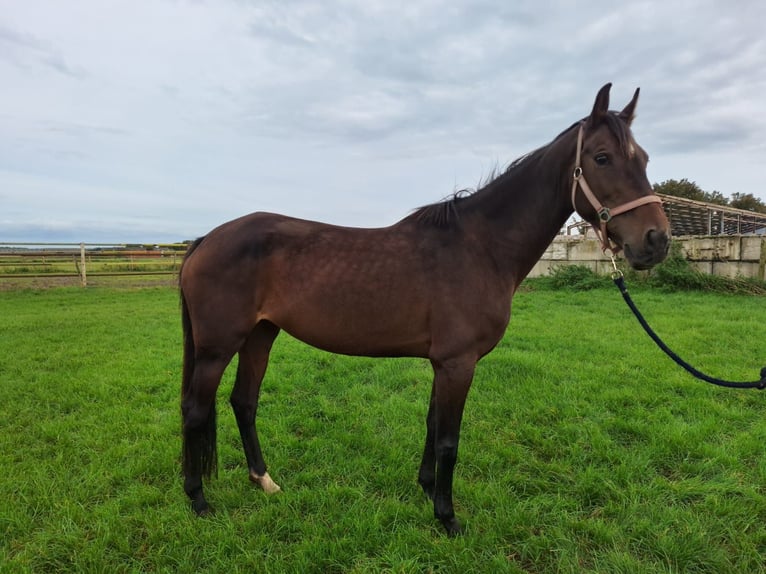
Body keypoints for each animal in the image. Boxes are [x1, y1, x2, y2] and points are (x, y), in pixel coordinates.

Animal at [177, 83, 668, 536]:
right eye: (602, 158)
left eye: (644, 159)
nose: (656, 241)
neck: (480, 246)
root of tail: (207, 239)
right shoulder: (457, 362)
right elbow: (449, 438)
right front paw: (447, 518)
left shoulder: (443, 363)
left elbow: (433, 426)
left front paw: (428, 489)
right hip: (218, 346)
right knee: (196, 410)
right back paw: (198, 500)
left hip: (260, 335)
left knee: (244, 402)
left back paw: (264, 481)